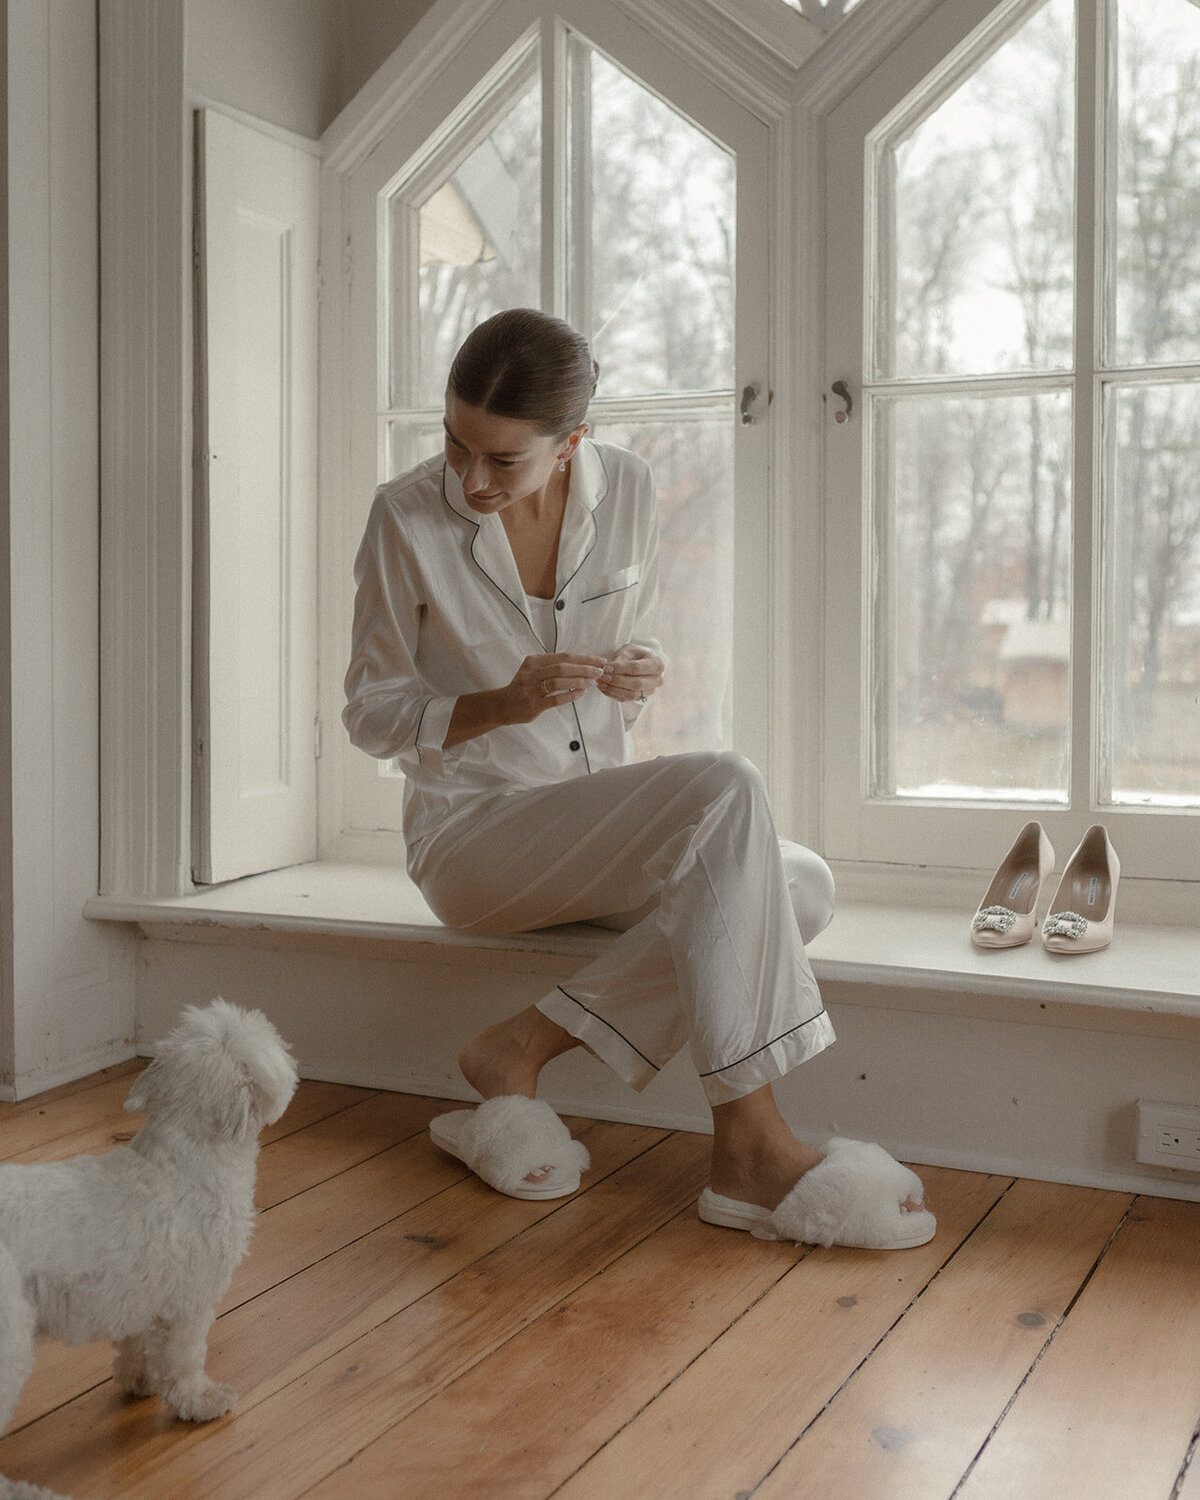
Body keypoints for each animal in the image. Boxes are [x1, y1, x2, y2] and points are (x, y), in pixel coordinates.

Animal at [0, 996, 297, 1500]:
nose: (293, 1059)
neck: (184, 1161)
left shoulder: (138, 1292)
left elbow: (137, 1342)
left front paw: (138, 1380)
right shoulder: (192, 1300)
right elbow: (186, 1358)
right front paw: (201, 1401)